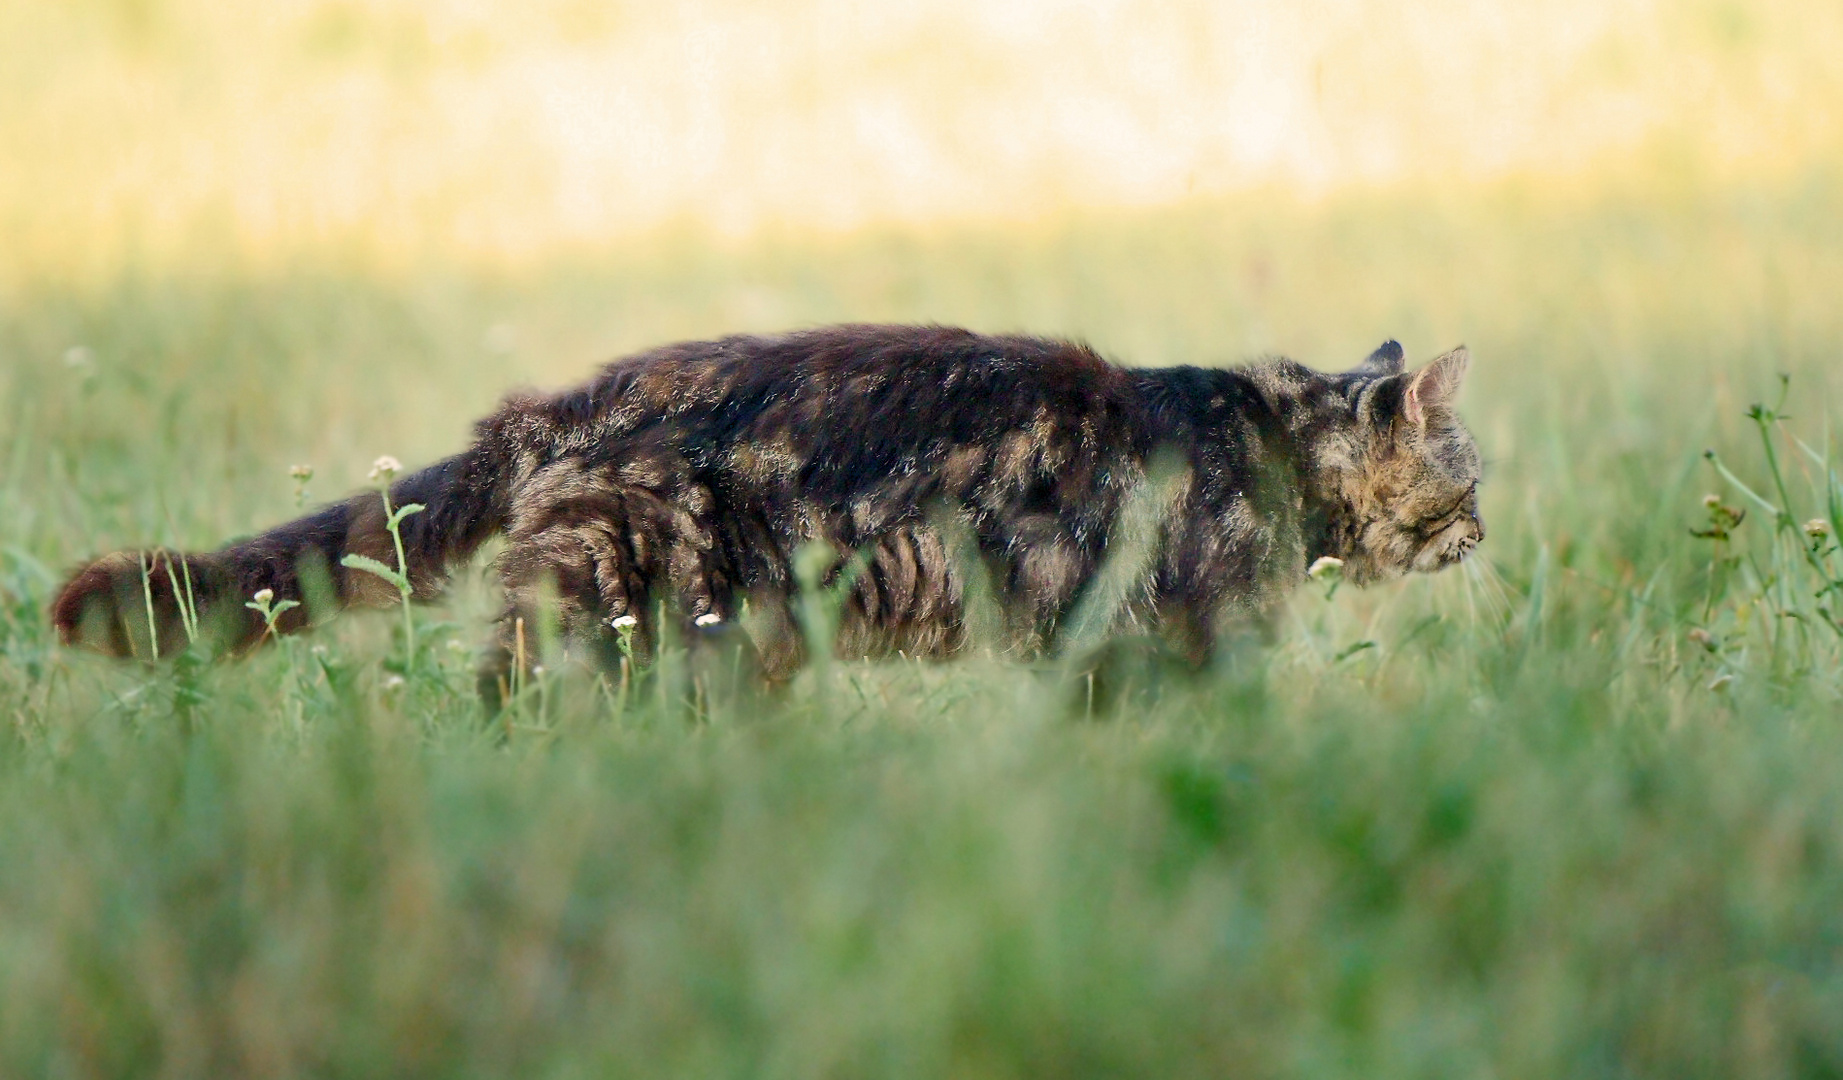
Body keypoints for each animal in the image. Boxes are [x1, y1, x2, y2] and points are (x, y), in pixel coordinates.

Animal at [50, 318, 1481, 692]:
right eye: (1470, 478)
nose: (1485, 531)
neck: (1277, 443)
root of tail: (562, 402)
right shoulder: (1174, 631)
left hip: (726, 638)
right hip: (612, 605)